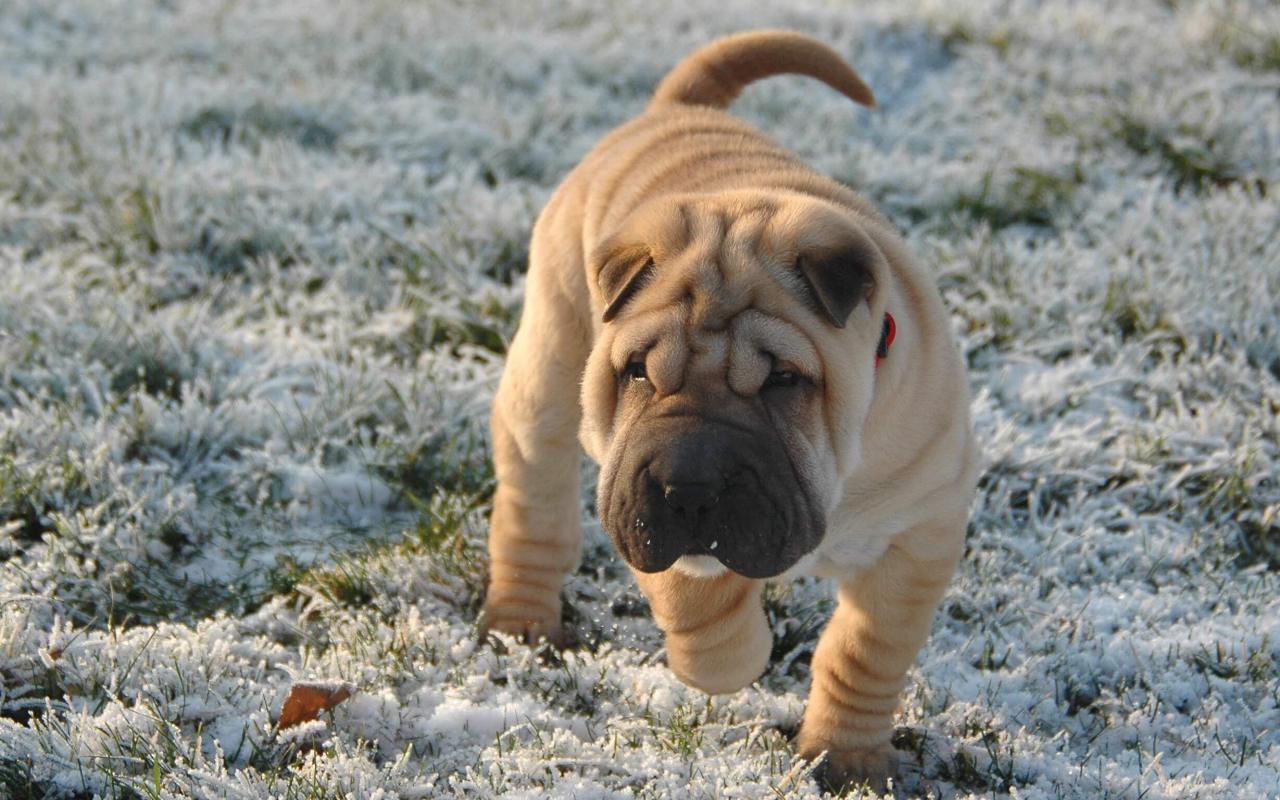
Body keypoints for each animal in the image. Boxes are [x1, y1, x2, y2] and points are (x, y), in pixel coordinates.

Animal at [481, 29, 977, 788]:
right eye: (637, 372)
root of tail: (677, 110)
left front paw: (851, 757)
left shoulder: (919, 535)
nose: (688, 485)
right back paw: (521, 621)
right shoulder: (642, 504)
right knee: (532, 507)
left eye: (784, 380)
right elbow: (702, 603)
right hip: (548, 372)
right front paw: (734, 661)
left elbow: (865, 652)